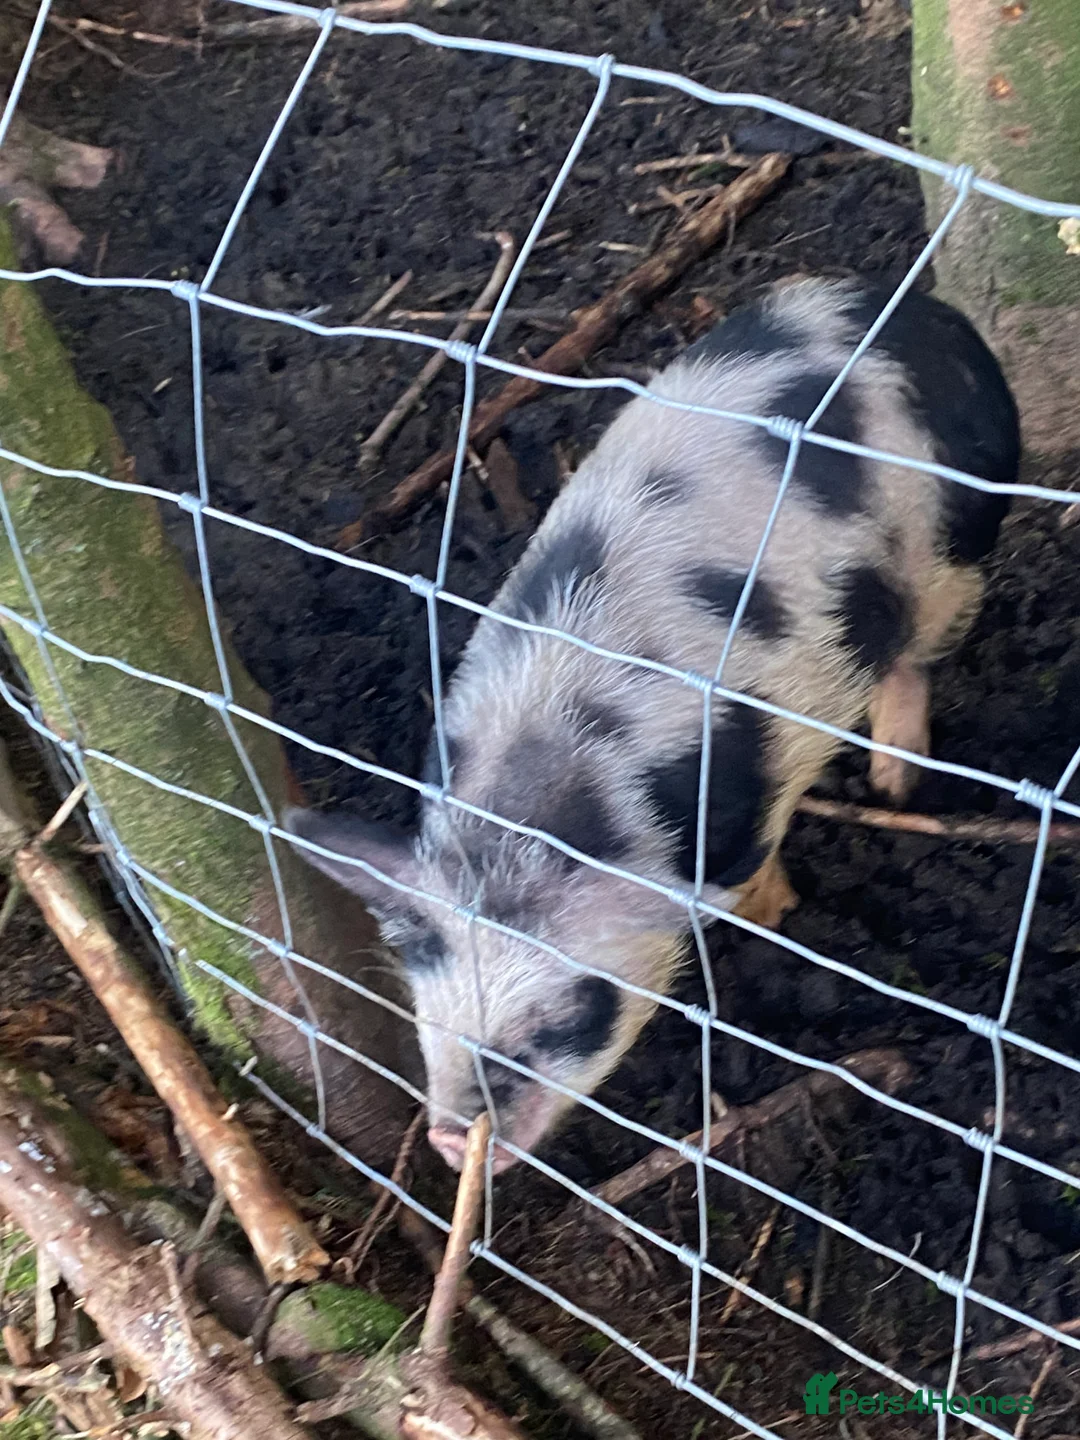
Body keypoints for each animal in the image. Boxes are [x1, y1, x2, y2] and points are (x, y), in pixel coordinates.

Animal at [285, 277, 1020, 1173]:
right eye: (429, 1018)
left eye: (566, 1019)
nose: (454, 1140)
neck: (543, 801)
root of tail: (908, 312)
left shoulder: (746, 801)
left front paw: (769, 913)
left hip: (955, 539)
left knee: (918, 648)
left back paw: (894, 778)